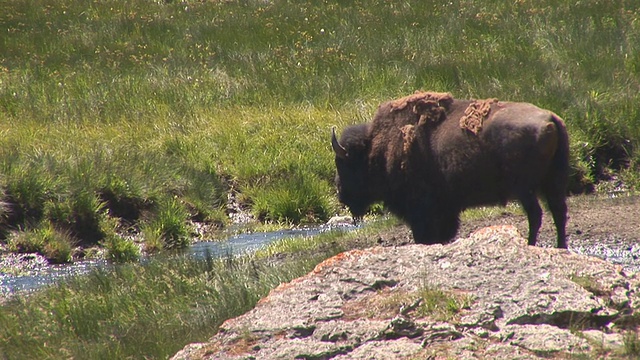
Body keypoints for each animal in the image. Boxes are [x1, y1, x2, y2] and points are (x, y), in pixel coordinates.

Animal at [332, 91, 568, 248]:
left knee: (536, 214)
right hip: (552, 182)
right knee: (558, 212)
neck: (377, 146)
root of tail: (550, 118)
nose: (341, 194)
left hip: (525, 188)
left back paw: (531, 244)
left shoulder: (422, 211)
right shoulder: (446, 208)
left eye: (344, 164)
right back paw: (560, 247)